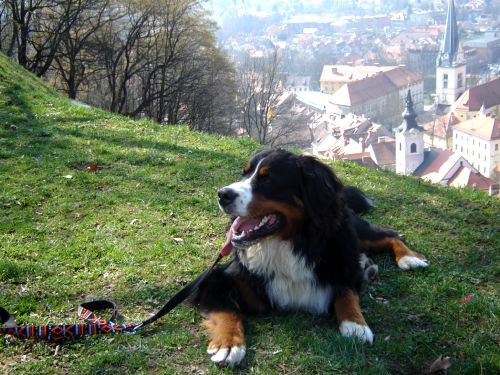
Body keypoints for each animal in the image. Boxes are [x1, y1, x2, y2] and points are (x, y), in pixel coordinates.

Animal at [191, 149, 430, 368]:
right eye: (244, 173)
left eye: (268, 179)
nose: (222, 194)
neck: (288, 243)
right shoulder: (218, 278)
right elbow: (227, 310)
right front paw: (229, 343)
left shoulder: (342, 264)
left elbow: (346, 292)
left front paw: (356, 324)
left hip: (351, 231)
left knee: (389, 235)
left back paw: (409, 258)